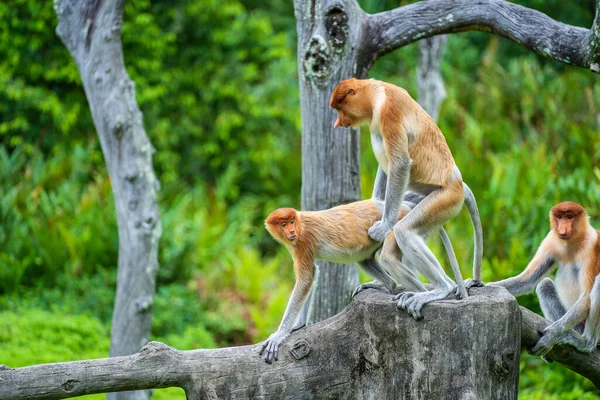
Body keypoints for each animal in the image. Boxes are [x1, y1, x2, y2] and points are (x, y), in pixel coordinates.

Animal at [258, 192, 464, 364]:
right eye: (284, 224)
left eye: (291, 222)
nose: (291, 232)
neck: (301, 223)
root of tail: (405, 206)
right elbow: (313, 274)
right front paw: (298, 325)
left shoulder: (303, 241)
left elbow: (306, 279)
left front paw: (279, 334)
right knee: (365, 259)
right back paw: (387, 286)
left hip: (396, 224)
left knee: (388, 256)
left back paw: (429, 292)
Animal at [326, 77, 486, 316]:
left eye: (339, 108)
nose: (338, 123)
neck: (376, 93)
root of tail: (457, 181)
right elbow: (387, 164)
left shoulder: (389, 112)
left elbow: (399, 163)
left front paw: (382, 227)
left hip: (445, 199)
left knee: (405, 232)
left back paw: (440, 289)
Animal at [488, 203, 600, 356]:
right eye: (559, 217)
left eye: (569, 217)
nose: (562, 228)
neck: (572, 242)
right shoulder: (551, 240)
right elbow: (528, 280)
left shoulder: (591, 245)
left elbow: (586, 297)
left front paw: (551, 335)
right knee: (544, 285)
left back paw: (586, 343)